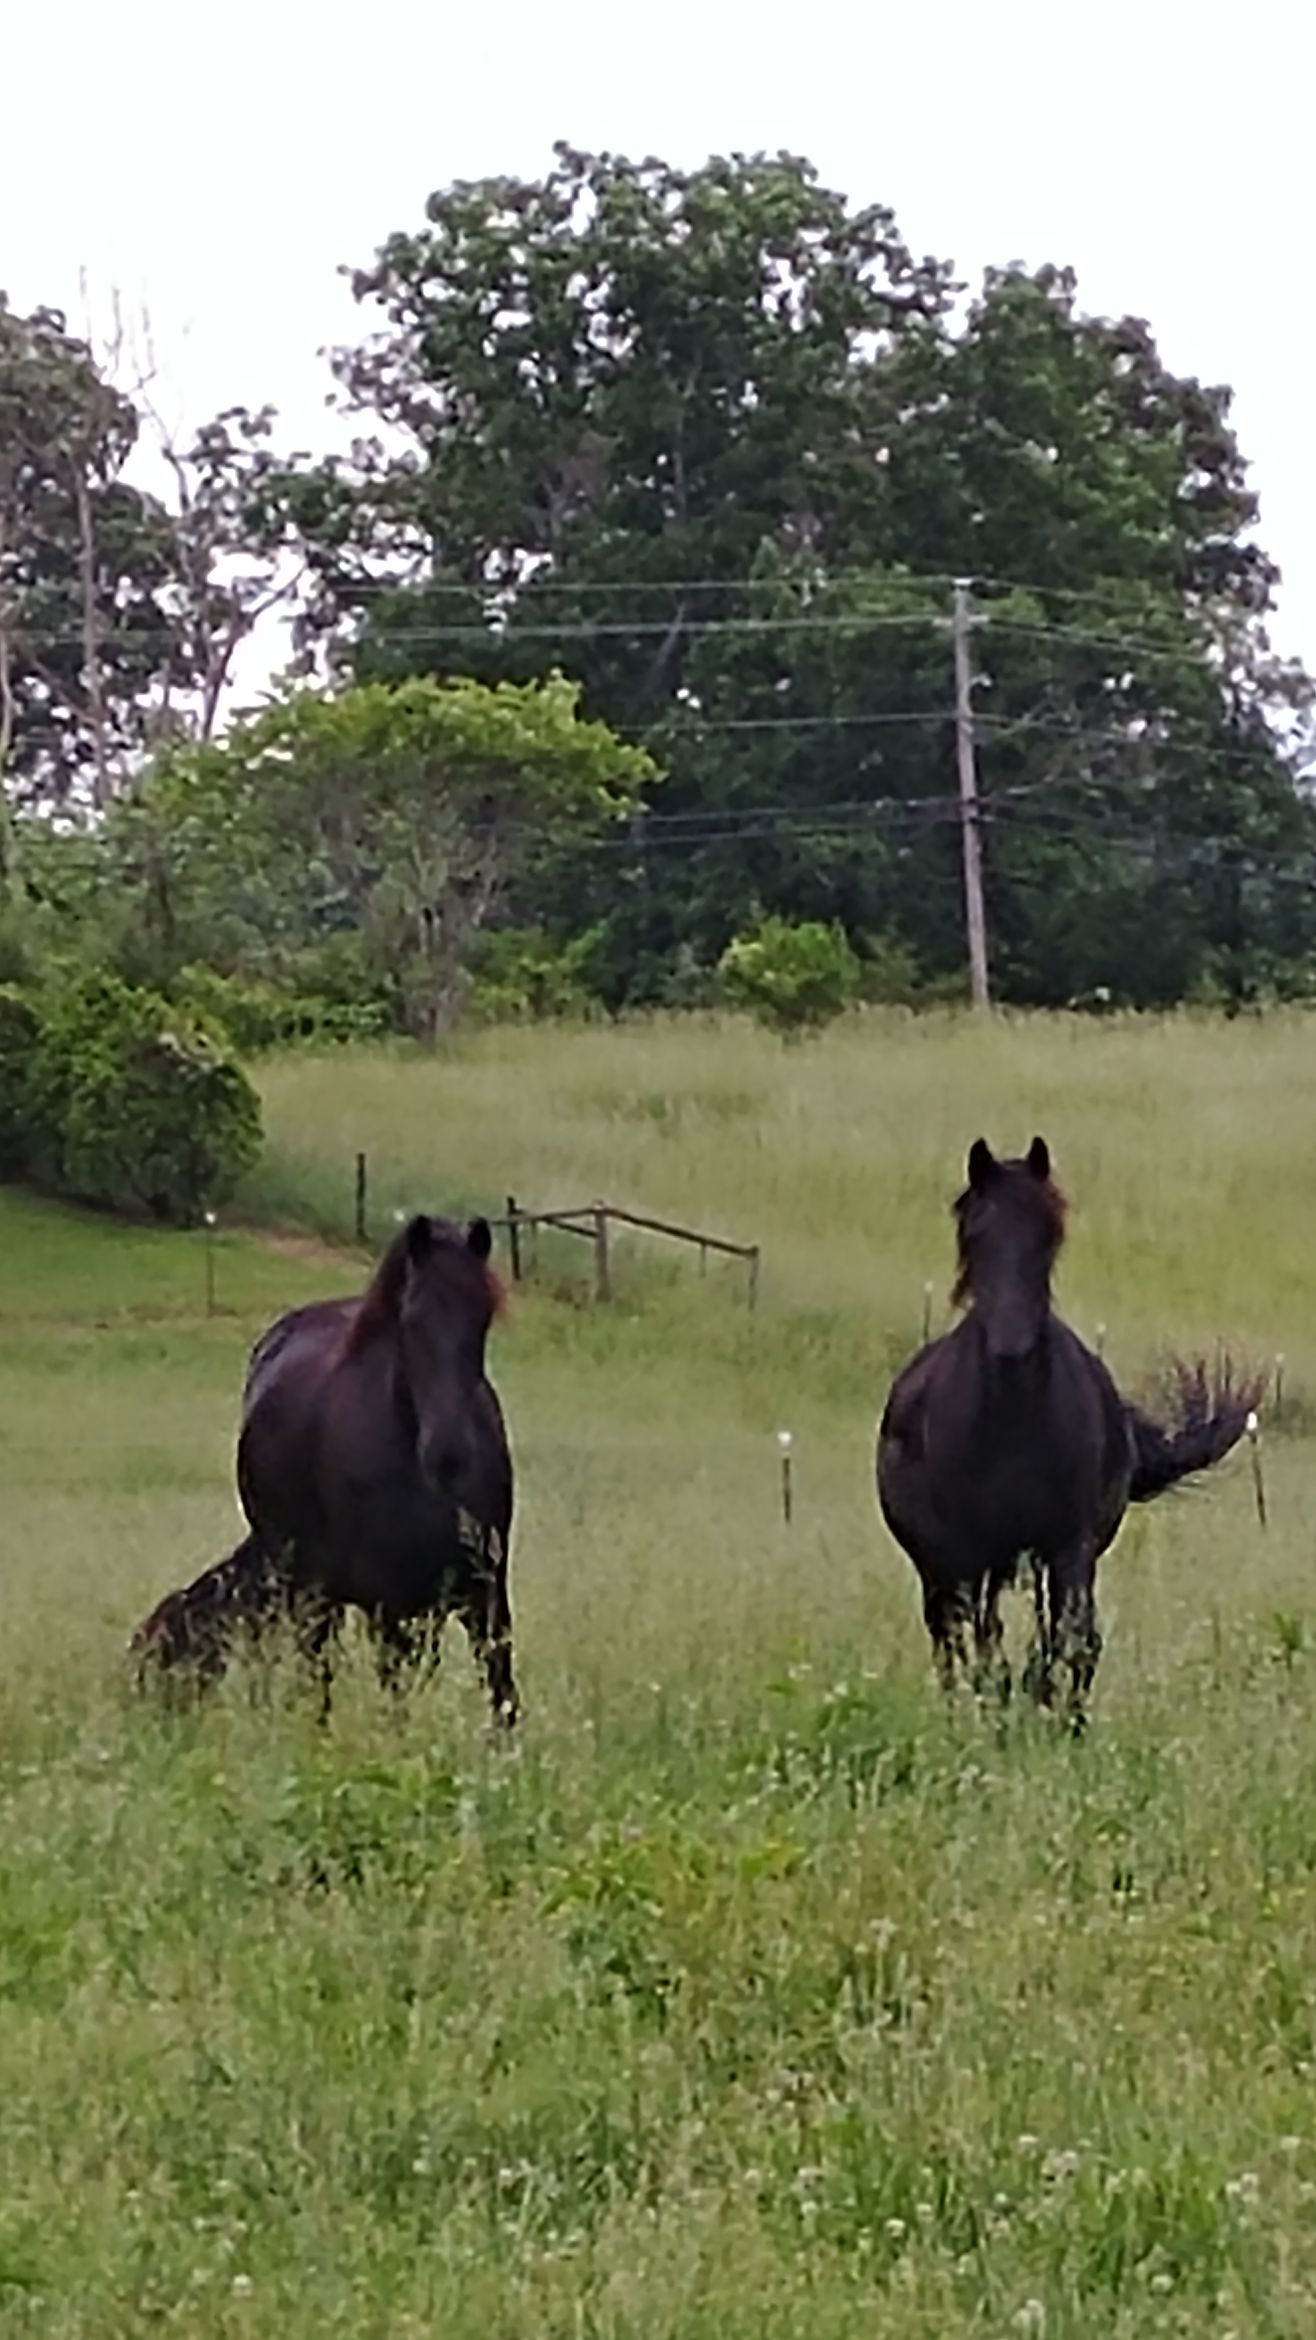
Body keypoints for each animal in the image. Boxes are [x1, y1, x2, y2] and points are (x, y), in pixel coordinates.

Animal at [132, 1213, 519, 1725]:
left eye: (482, 1317)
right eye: (411, 1320)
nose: (449, 1452)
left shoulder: (484, 1595)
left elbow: (502, 1698)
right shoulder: (386, 1607)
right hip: (320, 1596)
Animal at [876, 1136, 1259, 1728]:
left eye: (1050, 1233)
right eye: (974, 1231)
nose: (1010, 1346)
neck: (1012, 1420)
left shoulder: (1068, 1547)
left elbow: (1072, 1641)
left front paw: (1062, 1722)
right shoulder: (970, 1553)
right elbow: (990, 1652)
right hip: (946, 1569)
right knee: (952, 1643)